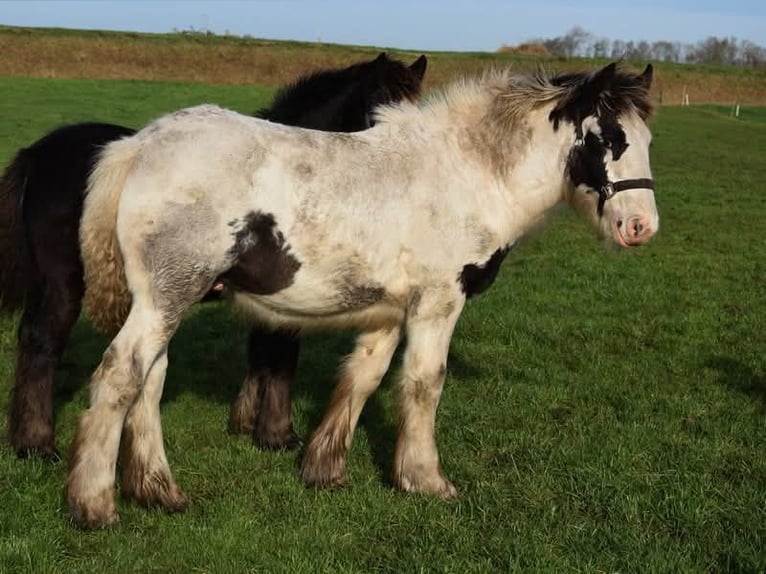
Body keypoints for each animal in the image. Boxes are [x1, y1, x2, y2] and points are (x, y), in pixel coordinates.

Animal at [0, 52, 428, 461]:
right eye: (380, 109)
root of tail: (37, 154)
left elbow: (262, 355)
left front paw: (246, 423)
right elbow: (282, 359)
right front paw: (277, 434)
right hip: (65, 283)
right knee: (42, 343)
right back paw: (38, 444)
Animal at [67, 62, 658, 529]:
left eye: (647, 141)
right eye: (606, 138)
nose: (640, 228)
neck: (464, 175)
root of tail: (139, 145)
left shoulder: (389, 312)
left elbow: (363, 379)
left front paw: (324, 470)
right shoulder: (438, 303)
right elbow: (424, 384)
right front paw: (425, 480)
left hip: (164, 301)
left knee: (149, 381)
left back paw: (158, 492)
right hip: (167, 297)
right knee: (121, 375)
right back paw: (94, 505)